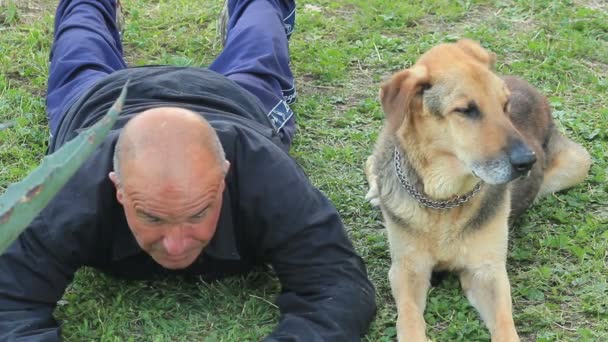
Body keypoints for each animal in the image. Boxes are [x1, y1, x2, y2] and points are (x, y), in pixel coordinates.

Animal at [364, 38, 592, 340]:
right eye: (466, 110)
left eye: (505, 105)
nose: (527, 162)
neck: (444, 199)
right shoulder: (407, 269)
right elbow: (410, 321)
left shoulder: (487, 272)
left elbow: (505, 325)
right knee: (372, 160)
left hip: (579, 163)